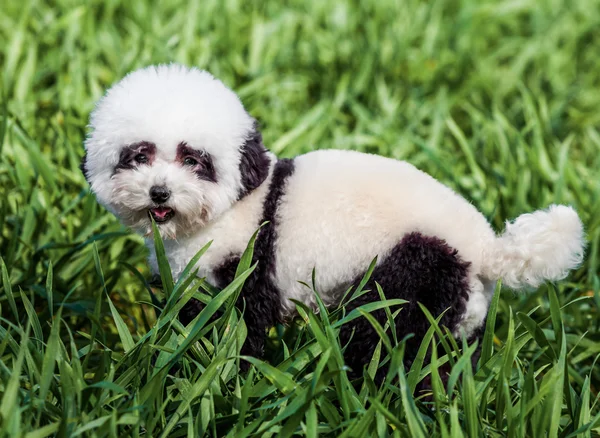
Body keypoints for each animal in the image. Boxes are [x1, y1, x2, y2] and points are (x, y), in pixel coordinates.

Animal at [81, 62, 584, 380]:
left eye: (194, 160)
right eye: (138, 155)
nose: (159, 193)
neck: (233, 205)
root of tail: (484, 249)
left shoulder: (243, 263)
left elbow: (236, 327)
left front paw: (220, 377)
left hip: (416, 269)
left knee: (383, 335)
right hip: (458, 306)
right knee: (440, 356)